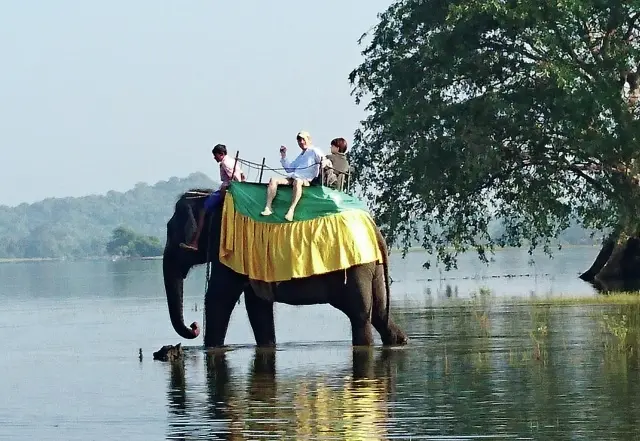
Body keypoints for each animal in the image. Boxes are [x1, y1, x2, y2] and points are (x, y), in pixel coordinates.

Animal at [162, 184, 408, 346]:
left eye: (170, 230)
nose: (194, 326)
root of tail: (374, 227)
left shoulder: (227, 248)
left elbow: (218, 298)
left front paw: (211, 348)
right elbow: (257, 306)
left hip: (358, 268)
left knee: (360, 316)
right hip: (372, 267)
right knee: (378, 313)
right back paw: (400, 340)